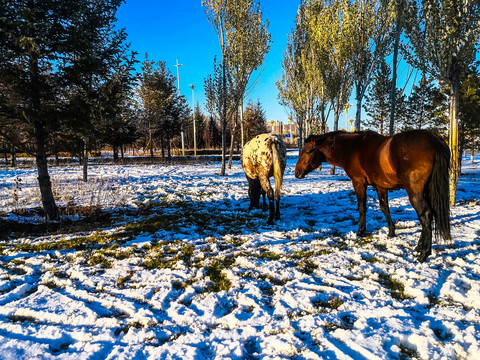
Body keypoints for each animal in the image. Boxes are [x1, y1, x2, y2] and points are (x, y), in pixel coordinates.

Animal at [294, 130, 452, 262]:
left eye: (308, 151)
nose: (297, 172)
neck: (352, 149)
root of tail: (434, 140)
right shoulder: (381, 187)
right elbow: (384, 208)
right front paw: (391, 233)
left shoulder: (358, 183)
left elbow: (362, 208)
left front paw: (361, 231)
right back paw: (419, 247)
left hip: (414, 192)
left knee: (425, 215)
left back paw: (424, 253)